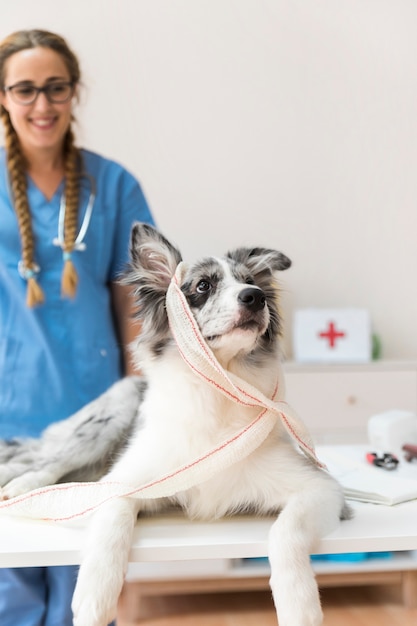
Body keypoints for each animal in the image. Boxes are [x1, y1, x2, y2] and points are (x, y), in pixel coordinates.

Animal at [0, 223, 350, 624]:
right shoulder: (125, 480)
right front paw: (93, 599)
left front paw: (300, 606)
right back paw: (19, 483)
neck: (218, 391)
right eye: (203, 286)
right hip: (110, 417)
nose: (256, 297)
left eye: (249, 281)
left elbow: (285, 532)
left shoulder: (320, 489)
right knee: (46, 460)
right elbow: (112, 520)